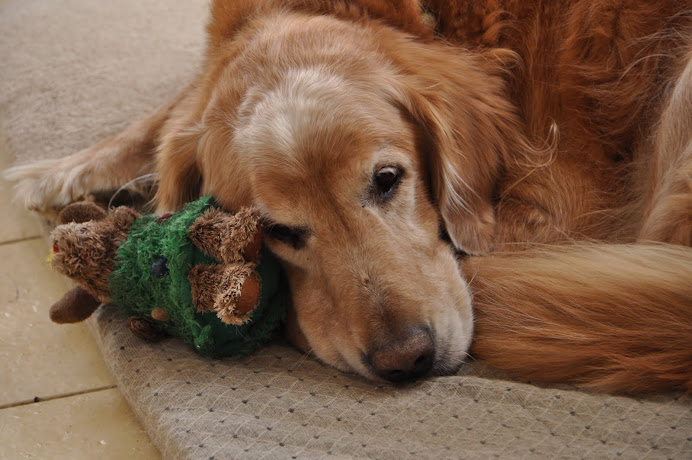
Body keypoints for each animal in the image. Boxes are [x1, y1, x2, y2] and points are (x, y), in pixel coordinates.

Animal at [6, 0, 692, 396]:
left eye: (388, 180)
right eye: (278, 231)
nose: (406, 360)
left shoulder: (556, 206)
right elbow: (180, 105)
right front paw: (67, 170)